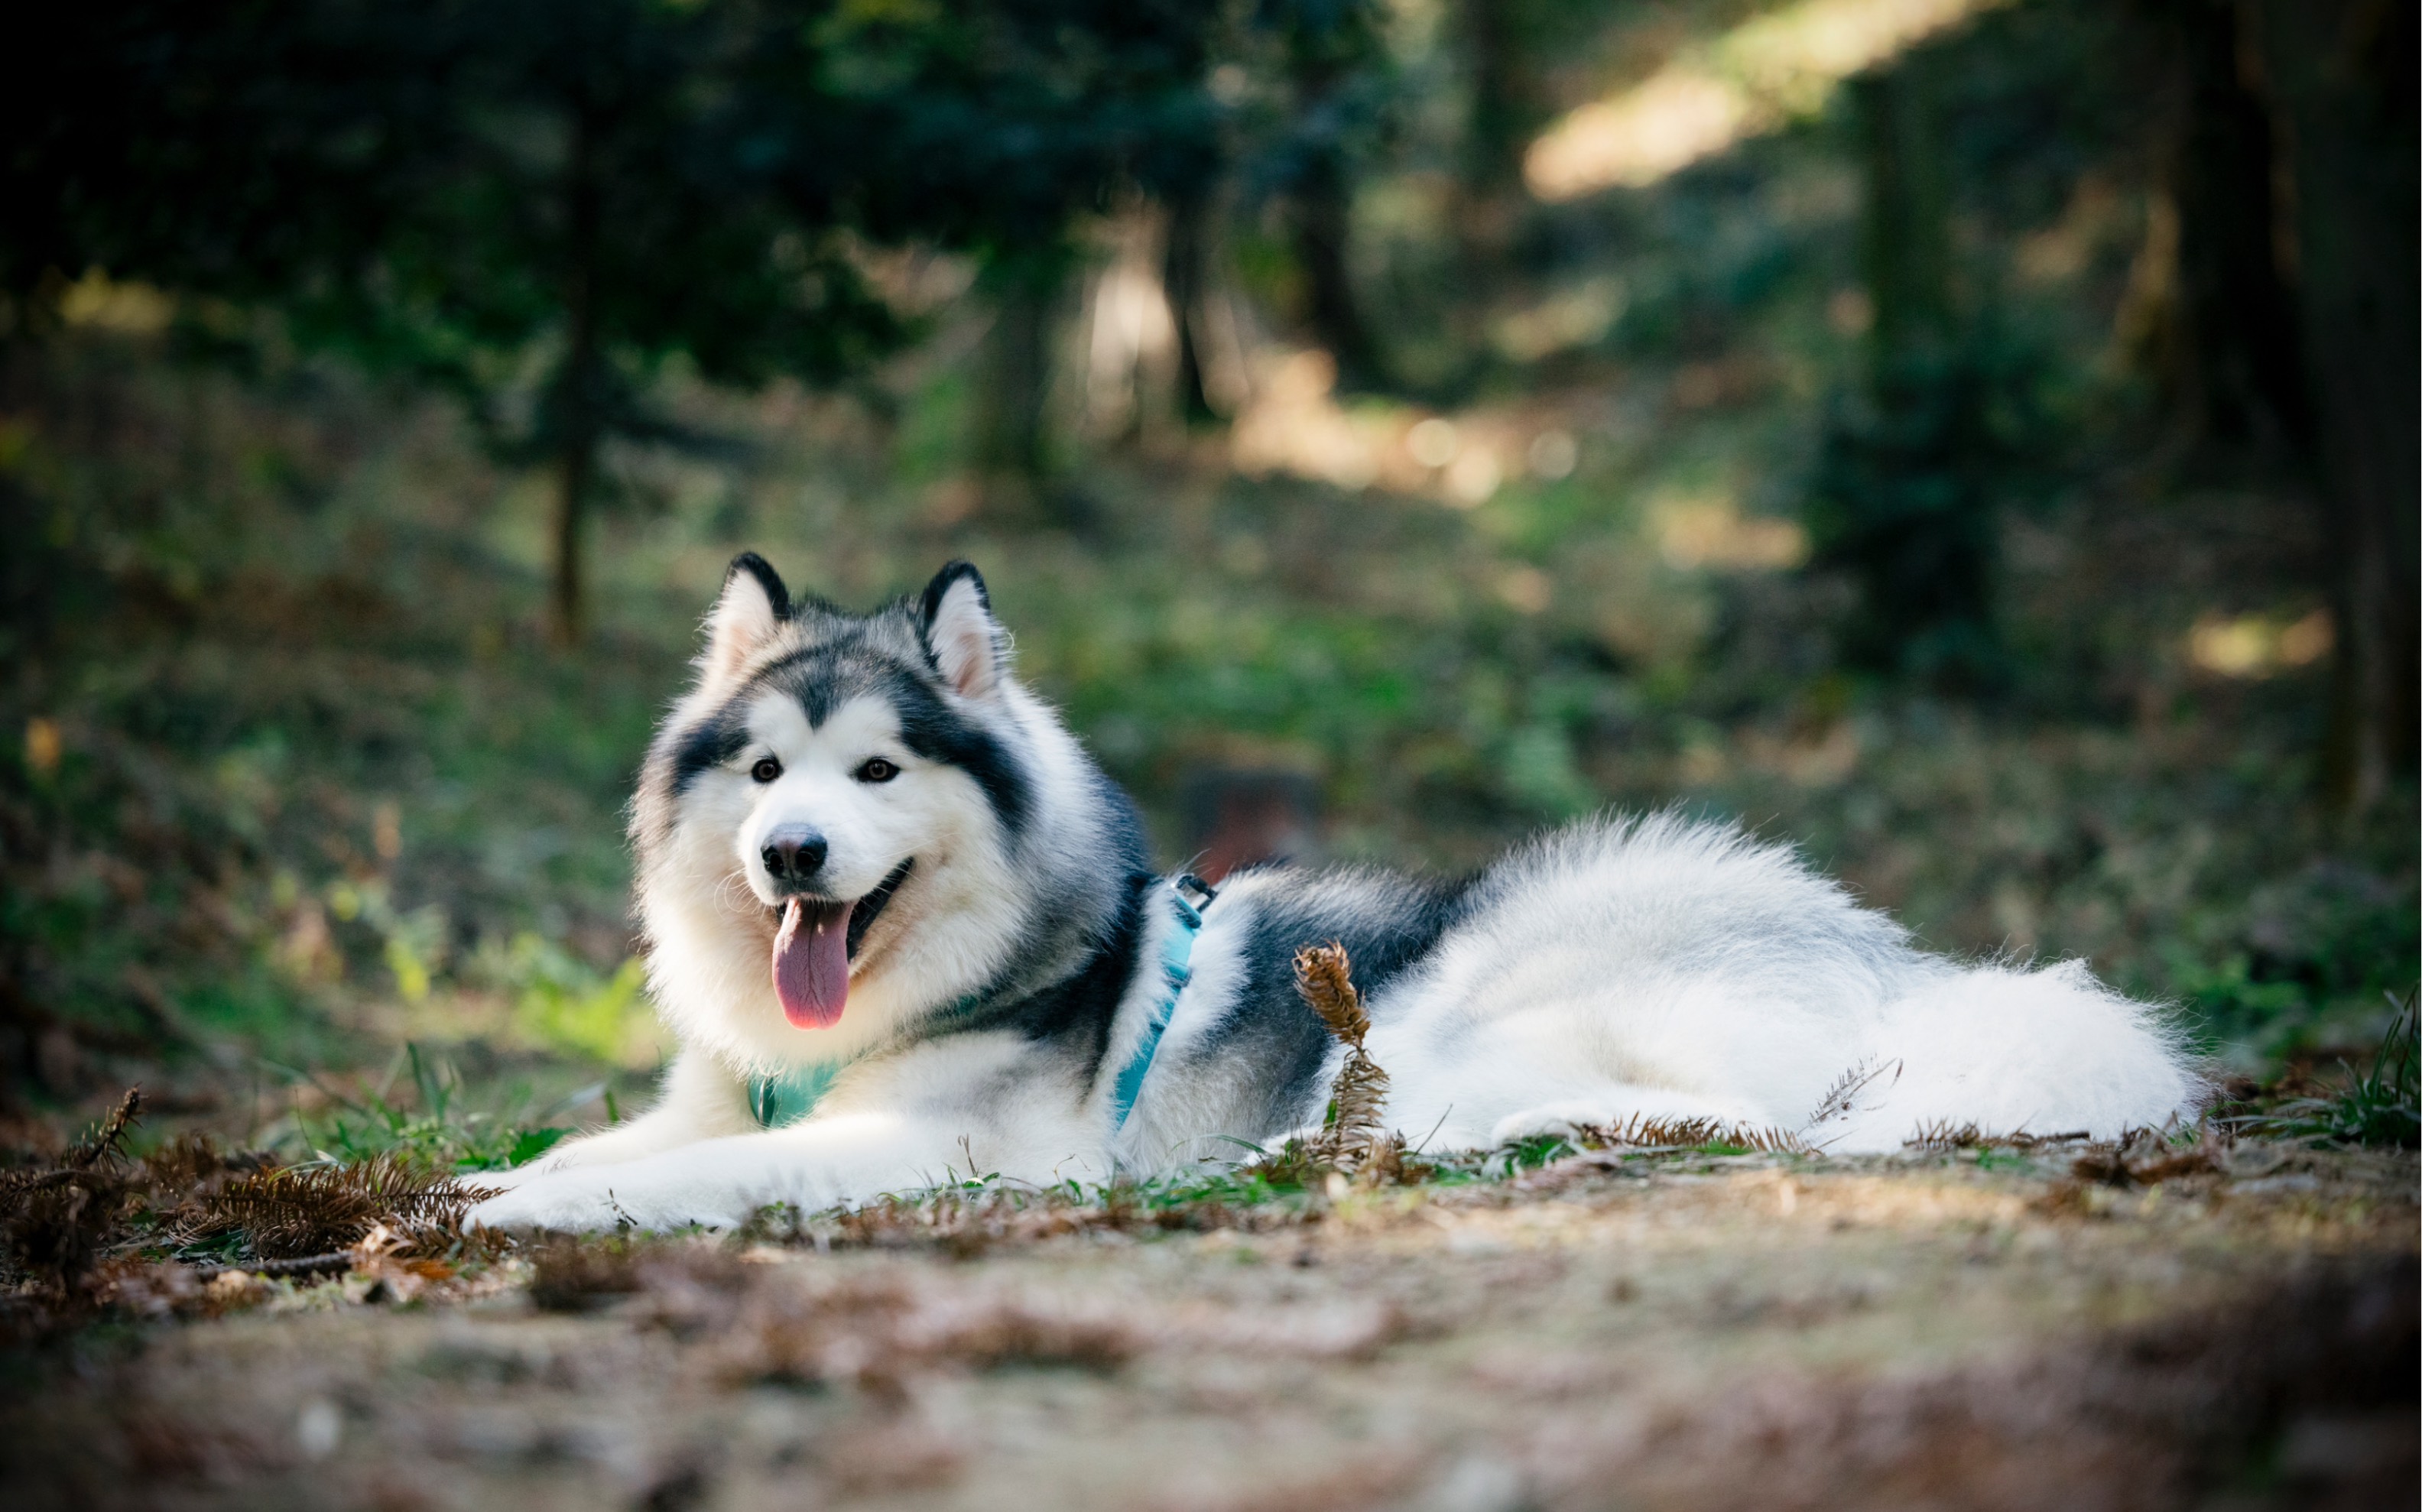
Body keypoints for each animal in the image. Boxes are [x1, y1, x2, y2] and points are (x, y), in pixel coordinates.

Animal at [463, 554, 2209, 1231]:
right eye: (766, 773)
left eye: (878, 773)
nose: (792, 856)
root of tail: (1899, 966)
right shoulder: (712, 1101)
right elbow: (601, 1143)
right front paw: (478, 1182)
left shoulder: (932, 1151)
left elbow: (680, 1179)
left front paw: (520, 1213)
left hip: (1490, 986)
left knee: (1727, 1120)